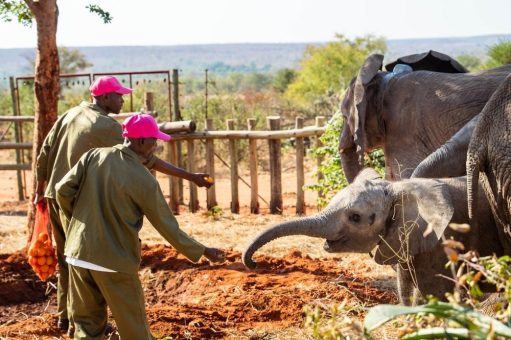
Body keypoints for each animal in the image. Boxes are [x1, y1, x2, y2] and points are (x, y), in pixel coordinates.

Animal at [243, 169, 504, 304]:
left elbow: (435, 294)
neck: (397, 188)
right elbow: (406, 289)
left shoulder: (442, 242)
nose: (253, 263)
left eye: (355, 217)